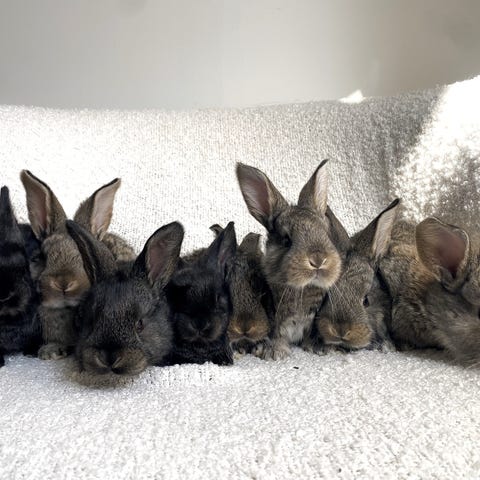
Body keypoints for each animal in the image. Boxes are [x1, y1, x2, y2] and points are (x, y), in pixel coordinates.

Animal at [236, 160, 342, 360]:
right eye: (286, 240)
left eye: (326, 234)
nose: (318, 260)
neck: (302, 290)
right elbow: (275, 335)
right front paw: (274, 353)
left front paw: (319, 347)